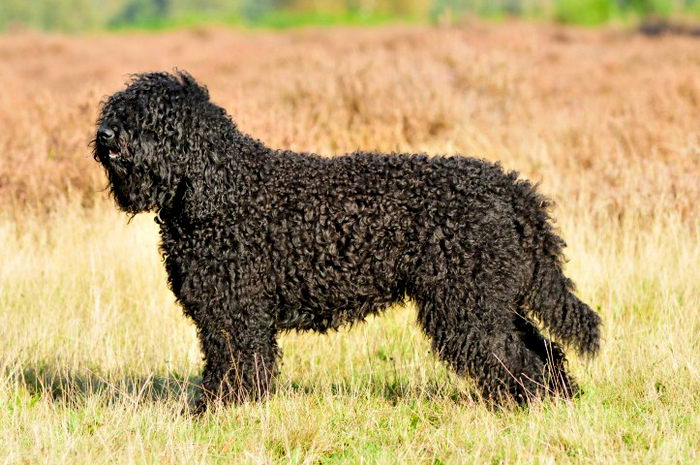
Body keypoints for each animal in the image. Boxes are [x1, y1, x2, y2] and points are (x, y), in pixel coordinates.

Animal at [93, 70, 600, 412]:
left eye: (153, 120)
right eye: (116, 111)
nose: (105, 135)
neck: (223, 190)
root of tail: (511, 189)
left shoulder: (236, 312)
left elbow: (236, 366)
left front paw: (219, 413)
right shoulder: (225, 314)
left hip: (467, 306)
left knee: (515, 358)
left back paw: (530, 406)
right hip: (493, 299)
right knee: (541, 352)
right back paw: (559, 400)